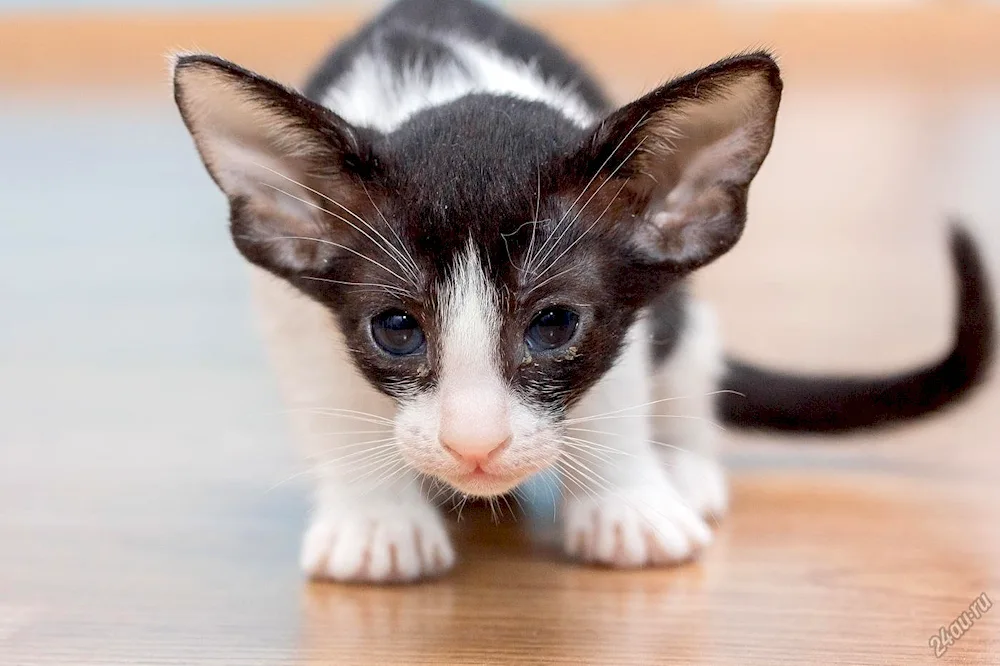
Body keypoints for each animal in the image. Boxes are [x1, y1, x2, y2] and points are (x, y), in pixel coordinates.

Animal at [172, 0, 992, 580]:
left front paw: (626, 505)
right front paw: (377, 521)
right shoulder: (287, 304)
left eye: (555, 325)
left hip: (686, 325)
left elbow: (616, 385)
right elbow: (327, 399)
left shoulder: (635, 310)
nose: (474, 445)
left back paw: (683, 464)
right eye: (396, 329)